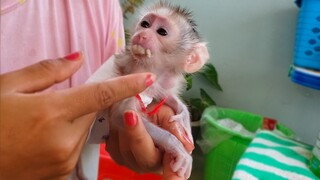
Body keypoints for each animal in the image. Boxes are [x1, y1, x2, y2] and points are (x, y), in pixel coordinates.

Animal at [100, 1, 210, 179]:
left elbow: (166, 95)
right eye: (145, 24)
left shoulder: (165, 81)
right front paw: (175, 145)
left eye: (162, 32)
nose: (142, 34)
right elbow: (122, 115)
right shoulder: (132, 79)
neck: (154, 71)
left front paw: (184, 118)